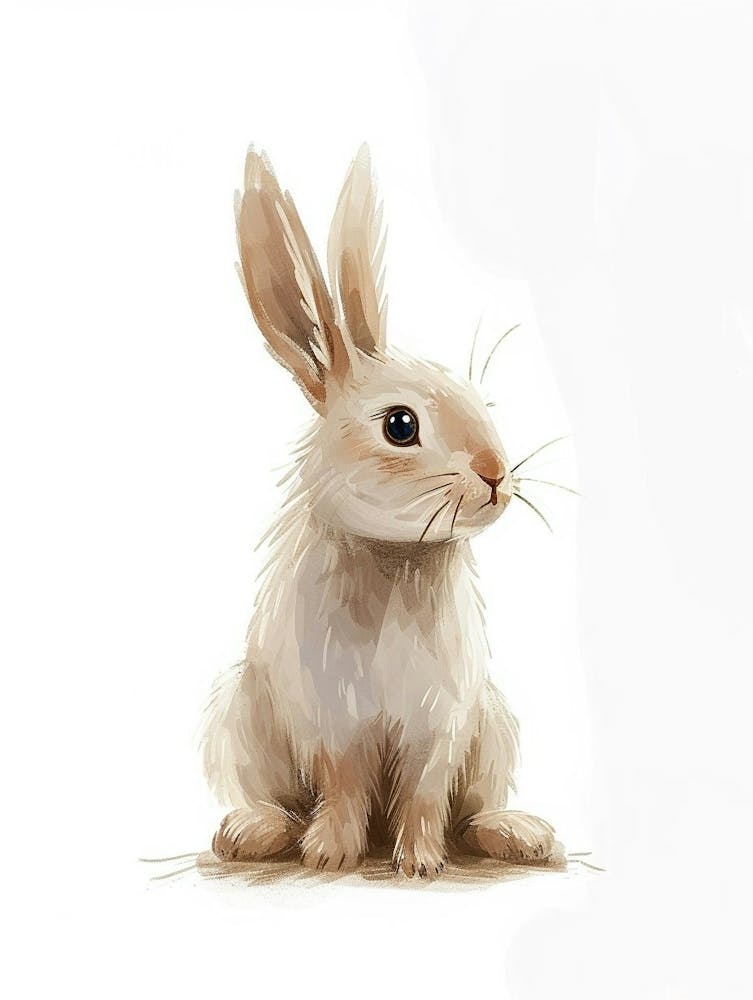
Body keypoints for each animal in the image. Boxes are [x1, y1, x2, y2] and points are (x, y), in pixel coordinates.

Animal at [200, 144, 557, 877]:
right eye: (399, 425)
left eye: (479, 400)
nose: (496, 476)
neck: (397, 556)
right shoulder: (333, 723)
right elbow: (343, 785)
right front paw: (332, 854)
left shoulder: (442, 722)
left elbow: (424, 793)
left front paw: (419, 862)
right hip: (237, 718)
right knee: (267, 797)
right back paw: (254, 832)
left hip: (493, 729)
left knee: (473, 809)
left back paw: (517, 833)